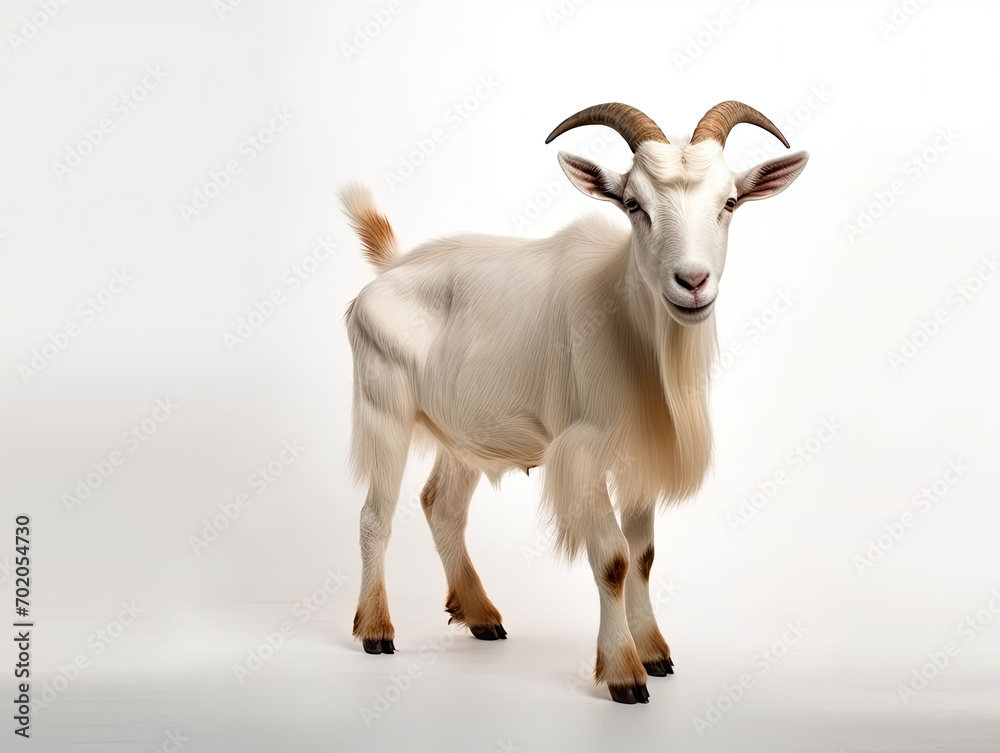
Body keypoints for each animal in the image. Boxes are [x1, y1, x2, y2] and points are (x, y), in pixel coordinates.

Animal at [342, 101, 809, 704]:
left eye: (729, 203)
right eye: (634, 204)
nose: (692, 281)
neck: (628, 329)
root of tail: (389, 271)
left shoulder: (638, 454)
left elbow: (643, 556)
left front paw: (655, 652)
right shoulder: (583, 452)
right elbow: (612, 559)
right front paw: (624, 673)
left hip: (466, 430)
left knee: (441, 504)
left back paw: (481, 615)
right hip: (384, 408)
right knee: (375, 514)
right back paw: (376, 630)